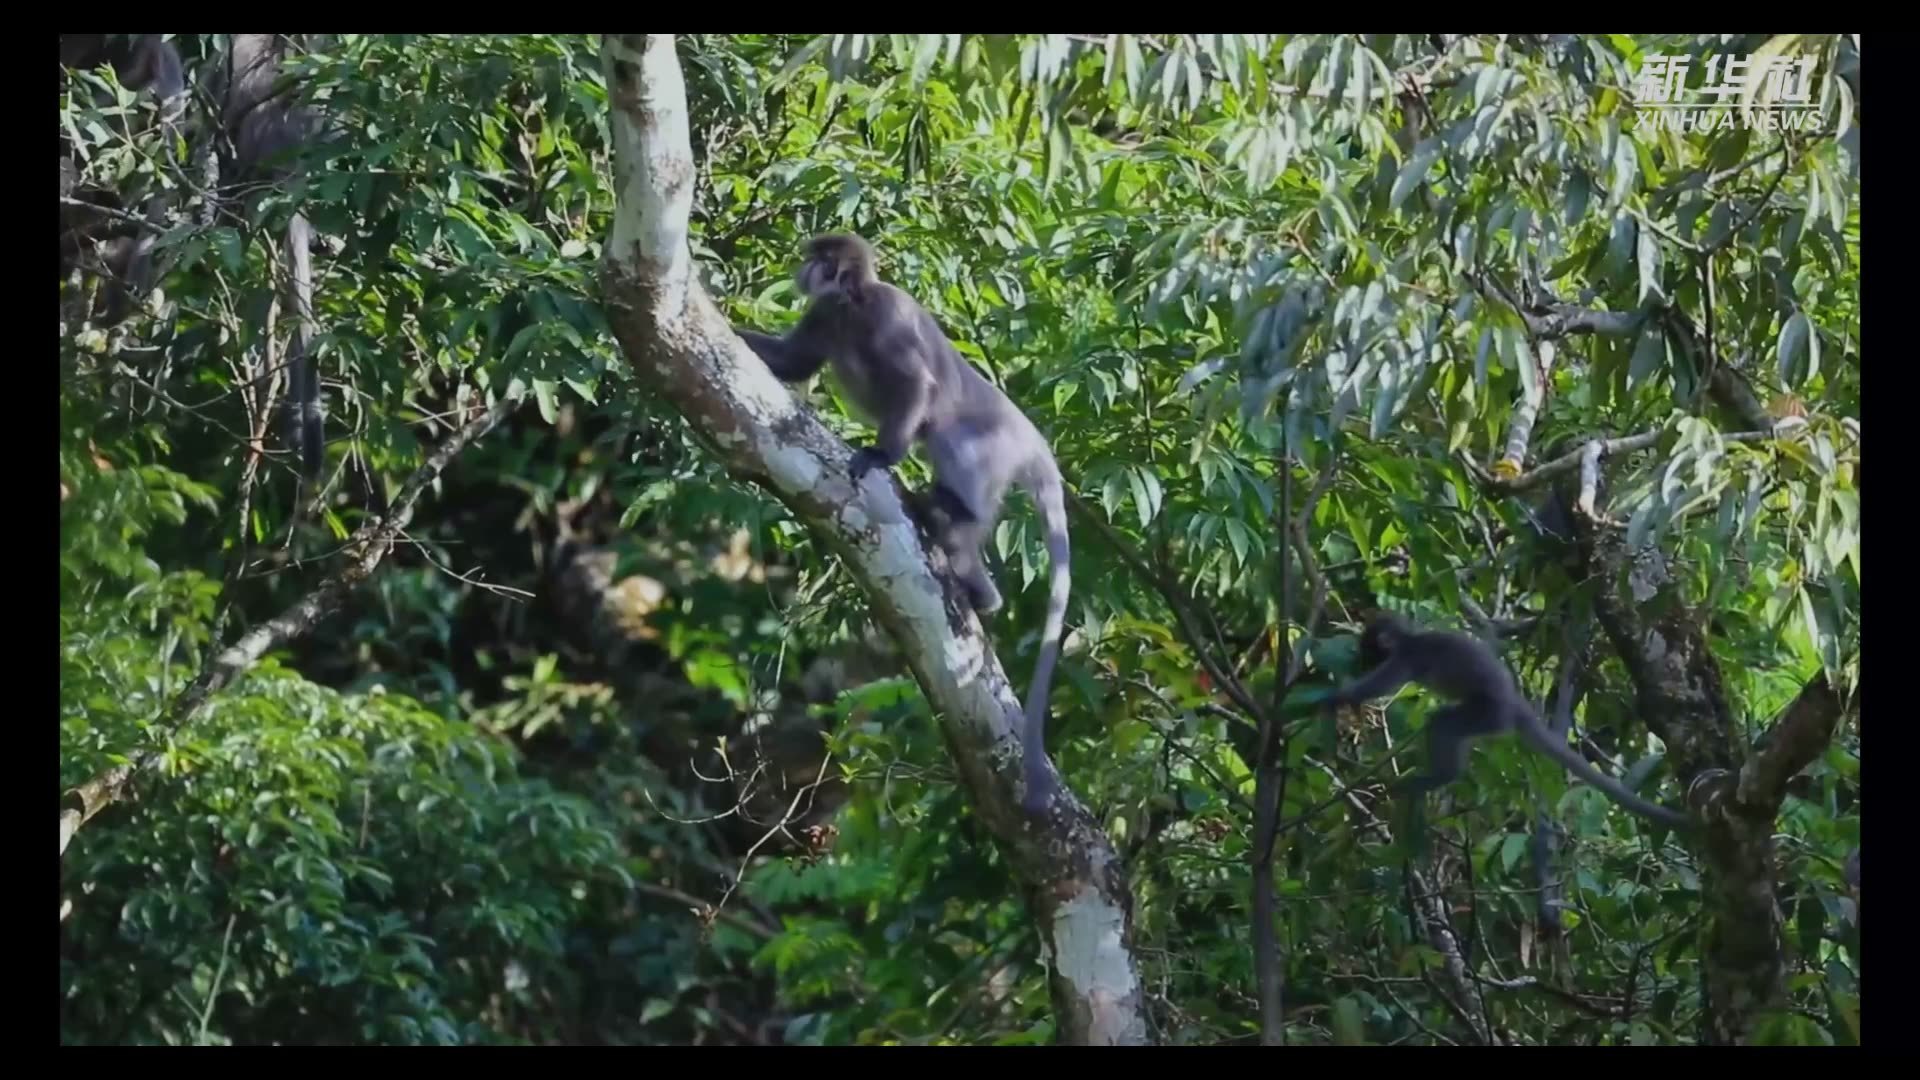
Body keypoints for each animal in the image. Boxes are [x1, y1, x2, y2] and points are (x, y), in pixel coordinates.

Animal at [733, 231, 1075, 810]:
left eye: (816, 257)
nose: (804, 267)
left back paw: (957, 538)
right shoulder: (826, 314)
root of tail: (1031, 441)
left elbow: (917, 384)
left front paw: (881, 455)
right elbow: (792, 364)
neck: (851, 307)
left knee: (951, 452)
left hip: (992, 447)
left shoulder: (885, 317)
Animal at [1328, 611, 1689, 826]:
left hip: (1488, 715)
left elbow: (1379, 686)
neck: (1410, 639)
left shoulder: (1406, 658)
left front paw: (1335, 697)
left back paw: (1439, 777)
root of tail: (1514, 705)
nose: (1359, 661)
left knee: (1444, 725)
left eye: (1369, 652)